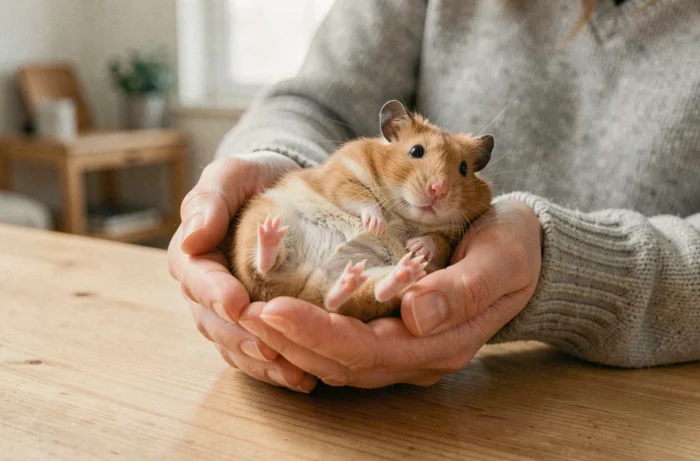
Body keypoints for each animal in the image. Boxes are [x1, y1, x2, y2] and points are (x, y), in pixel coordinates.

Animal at [229, 100, 493, 322]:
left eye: (463, 168)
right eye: (416, 151)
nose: (439, 189)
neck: (403, 213)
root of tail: (299, 287)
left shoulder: (452, 235)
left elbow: (439, 242)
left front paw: (416, 248)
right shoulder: (342, 176)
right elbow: (361, 197)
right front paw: (377, 225)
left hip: (370, 287)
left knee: (352, 297)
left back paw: (386, 275)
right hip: (260, 219)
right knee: (262, 266)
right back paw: (270, 236)